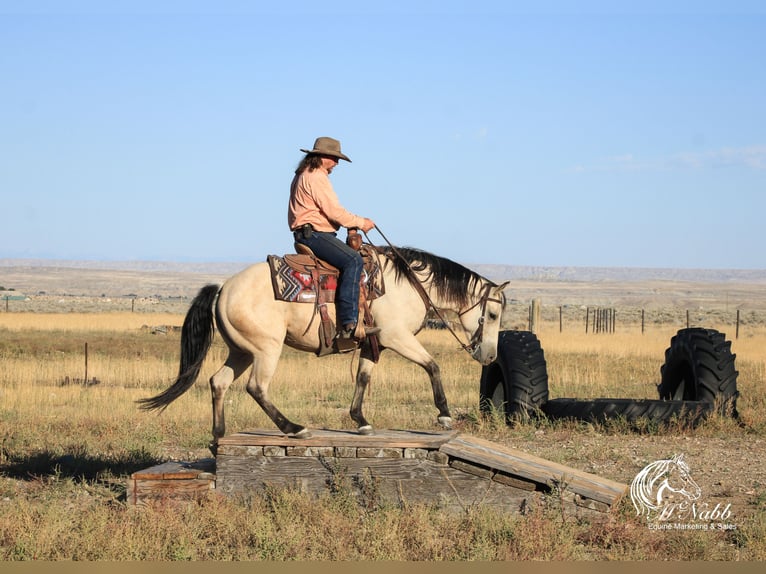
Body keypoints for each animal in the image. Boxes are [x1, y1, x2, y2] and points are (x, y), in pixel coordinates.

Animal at [138, 245, 510, 452]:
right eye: (492, 314)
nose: (491, 356)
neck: (408, 285)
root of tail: (223, 288)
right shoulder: (396, 337)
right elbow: (432, 365)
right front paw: (444, 414)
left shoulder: (374, 343)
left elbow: (363, 378)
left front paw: (360, 420)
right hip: (266, 350)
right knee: (256, 387)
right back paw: (293, 428)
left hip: (242, 351)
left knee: (219, 382)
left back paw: (219, 436)